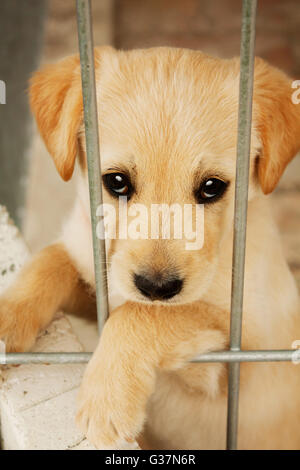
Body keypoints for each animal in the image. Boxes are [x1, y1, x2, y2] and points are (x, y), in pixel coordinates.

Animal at [0, 46, 300, 448]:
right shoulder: (98, 277)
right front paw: (7, 316)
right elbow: (51, 260)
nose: (156, 287)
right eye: (116, 182)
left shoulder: (242, 362)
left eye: (212, 187)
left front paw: (105, 400)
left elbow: (148, 315)